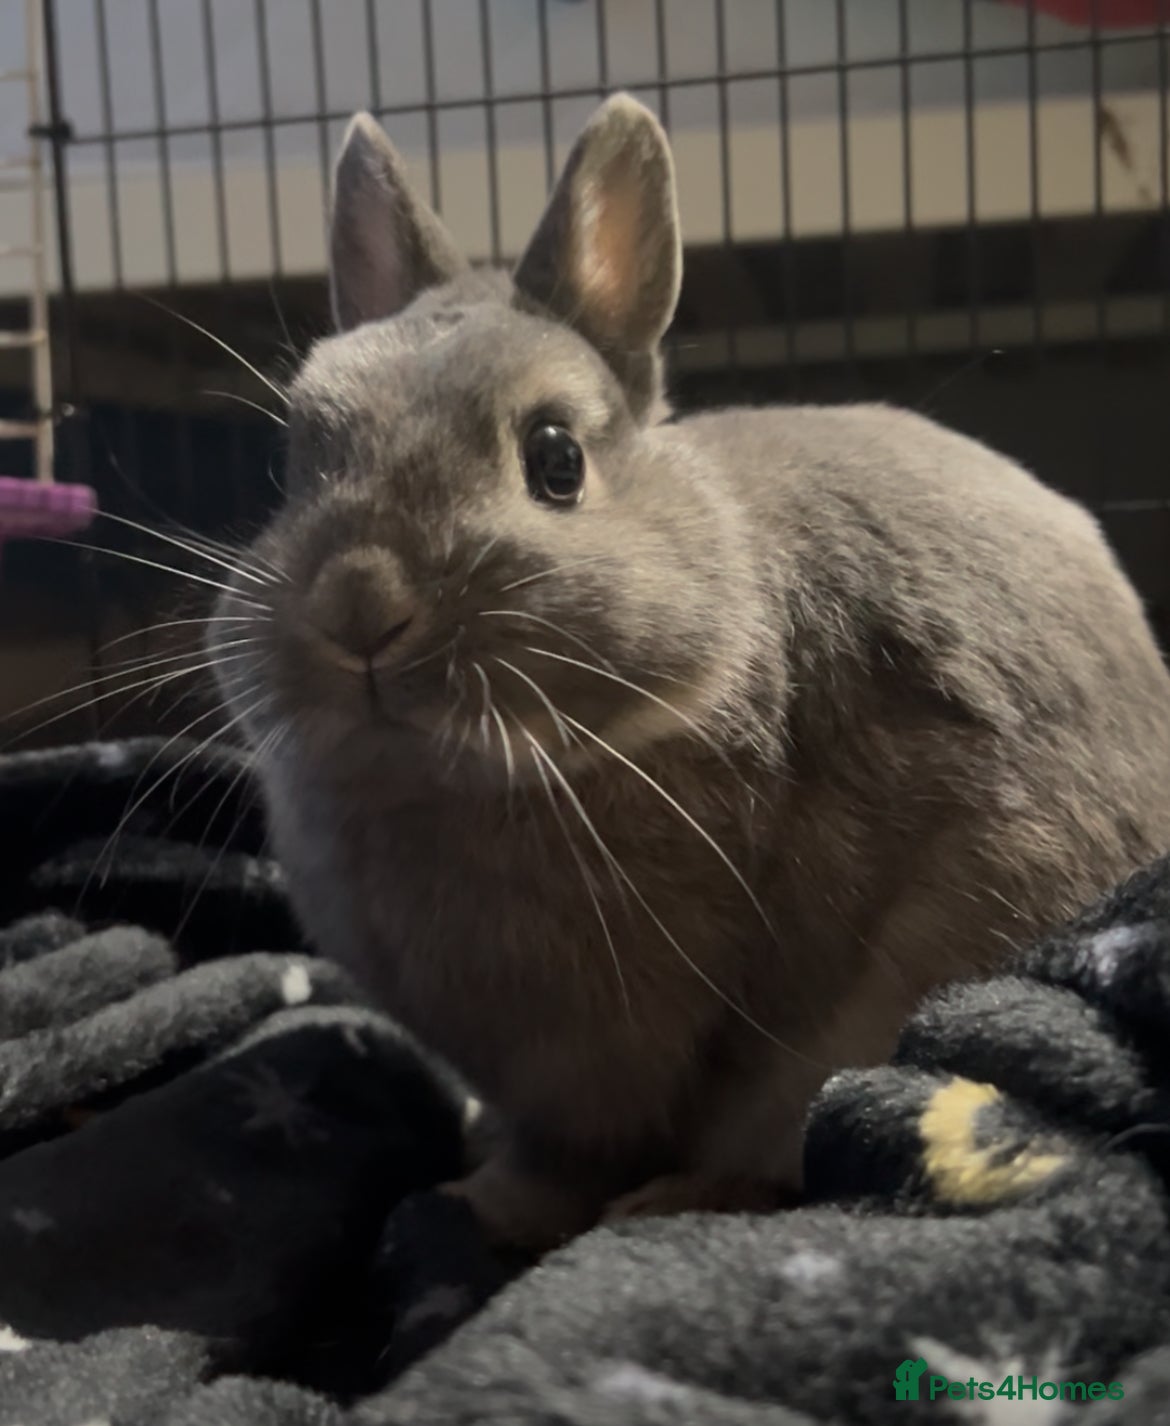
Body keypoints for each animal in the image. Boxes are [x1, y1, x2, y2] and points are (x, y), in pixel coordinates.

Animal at [209, 93, 1170, 1248]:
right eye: (293, 460)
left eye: (557, 460)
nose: (358, 606)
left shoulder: (600, 1057)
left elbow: (564, 1157)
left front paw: (478, 1203)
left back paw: (672, 1198)